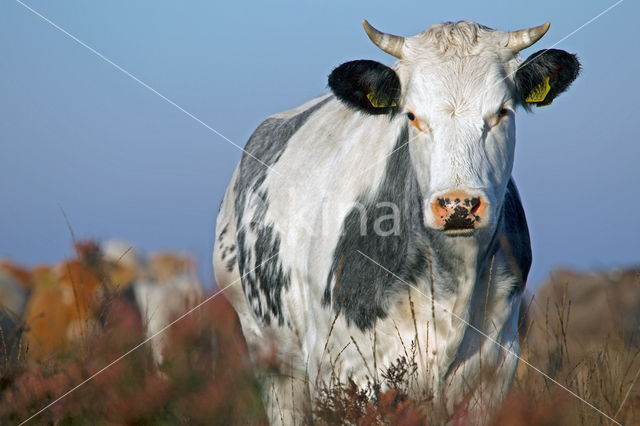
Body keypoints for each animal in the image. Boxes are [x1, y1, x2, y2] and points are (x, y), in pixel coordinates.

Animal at [214, 19, 580, 422]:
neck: (453, 283)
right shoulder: (342, 371)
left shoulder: (494, 371)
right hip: (273, 358)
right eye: (412, 115)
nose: (458, 205)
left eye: (502, 111)